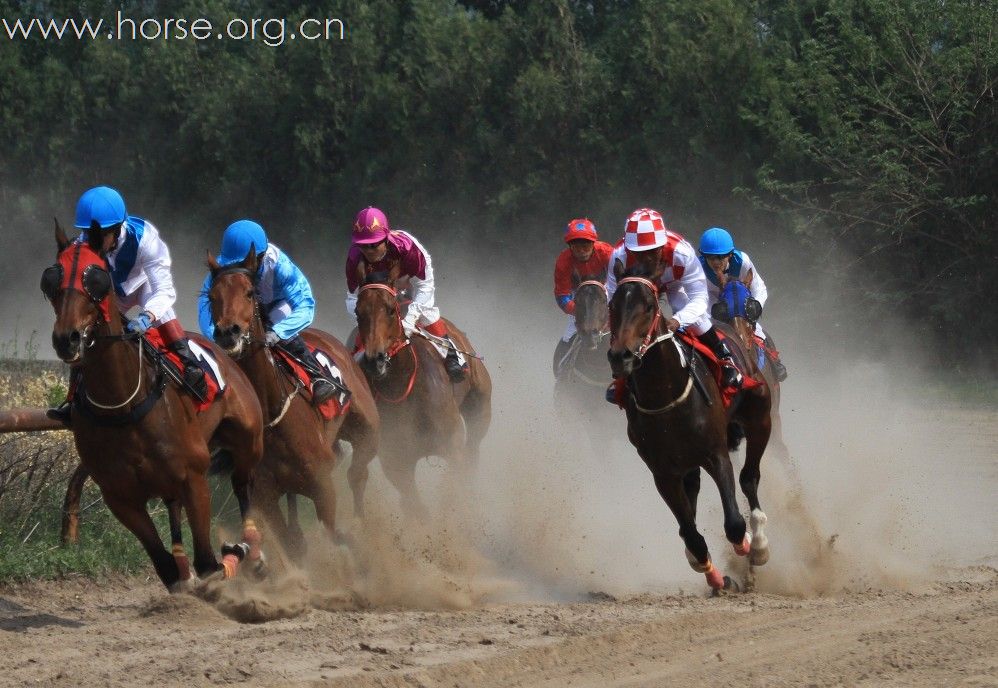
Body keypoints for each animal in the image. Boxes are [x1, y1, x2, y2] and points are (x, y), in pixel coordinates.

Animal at [43, 223, 266, 588]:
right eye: (52, 279)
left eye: (96, 279)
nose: (67, 338)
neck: (123, 406)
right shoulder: (120, 497)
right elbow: (167, 570)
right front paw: (184, 573)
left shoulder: (194, 478)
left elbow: (209, 564)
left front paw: (234, 555)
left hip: (248, 442)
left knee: (244, 487)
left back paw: (253, 550)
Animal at [205, 247, 380, 560]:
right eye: (212, 296)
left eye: (249, 293)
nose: (228, 332)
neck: (271, 415)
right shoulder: (265, 498)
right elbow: (293, 545)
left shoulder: (324, 488)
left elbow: (335, 534)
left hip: (367, 428)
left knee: (357, 473)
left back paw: (361, 523)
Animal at [356, 272, 492, 520]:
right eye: (358, 312)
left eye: (390, 310)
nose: (374, 360)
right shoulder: (396, 462)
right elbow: (417, 508)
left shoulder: (452, 446)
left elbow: (454, 489)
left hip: (480, 407)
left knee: (473, 448)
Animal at [608, 268, 772, 592]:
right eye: (612, 305)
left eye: (649, 307)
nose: (621, 356)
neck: (665, 396)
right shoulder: (663, 472)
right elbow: (691, 535)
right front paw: (716, 576)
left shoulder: (716, 454)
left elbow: (734, 523)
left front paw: (747, 544)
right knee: (694, 494)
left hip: (761, 418)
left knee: (749, 477)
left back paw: (758, 545)